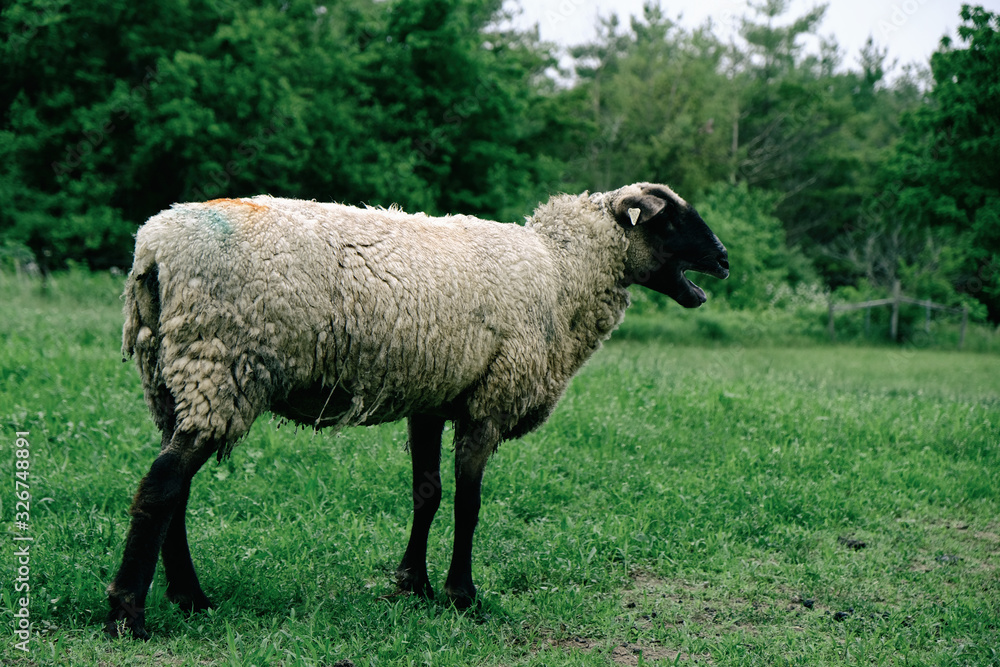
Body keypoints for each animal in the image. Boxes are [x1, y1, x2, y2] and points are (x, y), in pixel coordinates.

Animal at [105, 183, 729, 639]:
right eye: (672, 221)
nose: (724, 260)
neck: (559, 274)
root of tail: (153, 249)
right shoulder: (488, 401)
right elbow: (469, 503)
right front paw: (462, 594)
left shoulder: (434, 398)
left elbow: (426, 494)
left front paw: (413, 584)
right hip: (222, 365)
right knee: (161, 486)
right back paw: (128, 615)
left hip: (173, 380)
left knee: (175, 489)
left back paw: (189, 597)